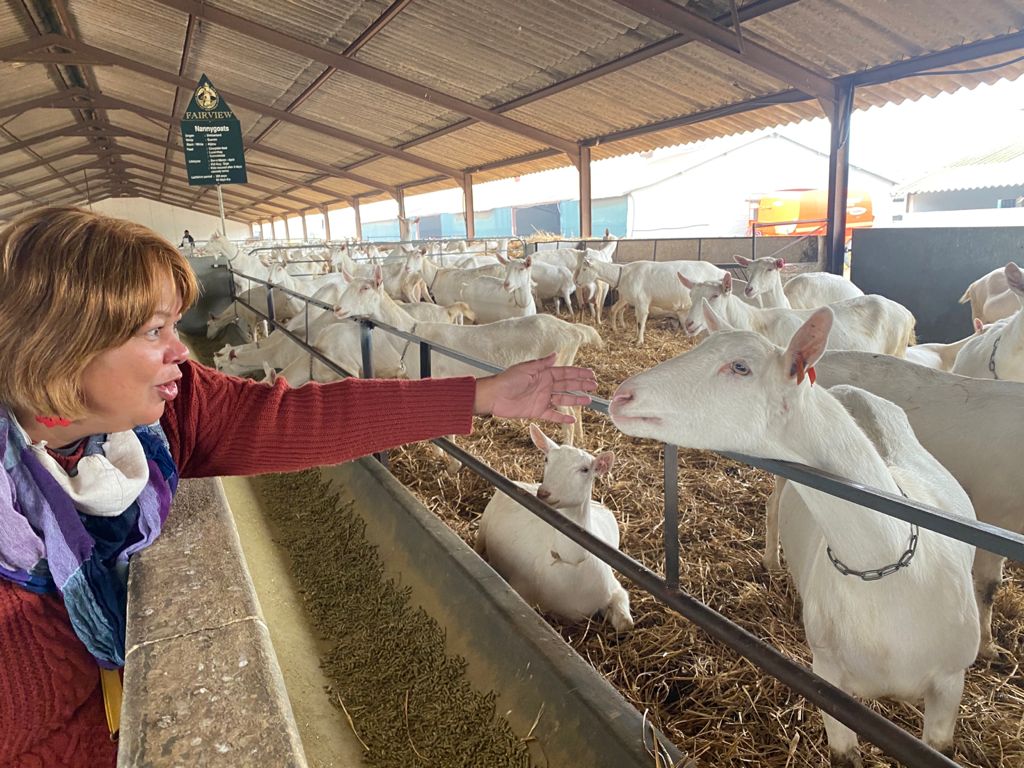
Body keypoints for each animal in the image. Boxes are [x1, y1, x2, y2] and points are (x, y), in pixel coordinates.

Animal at [679, 274, 913, 358]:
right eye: (690, 295)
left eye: (715, 295)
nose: (689, 323)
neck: (757, 323)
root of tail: (907, 313)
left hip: (897, 351)